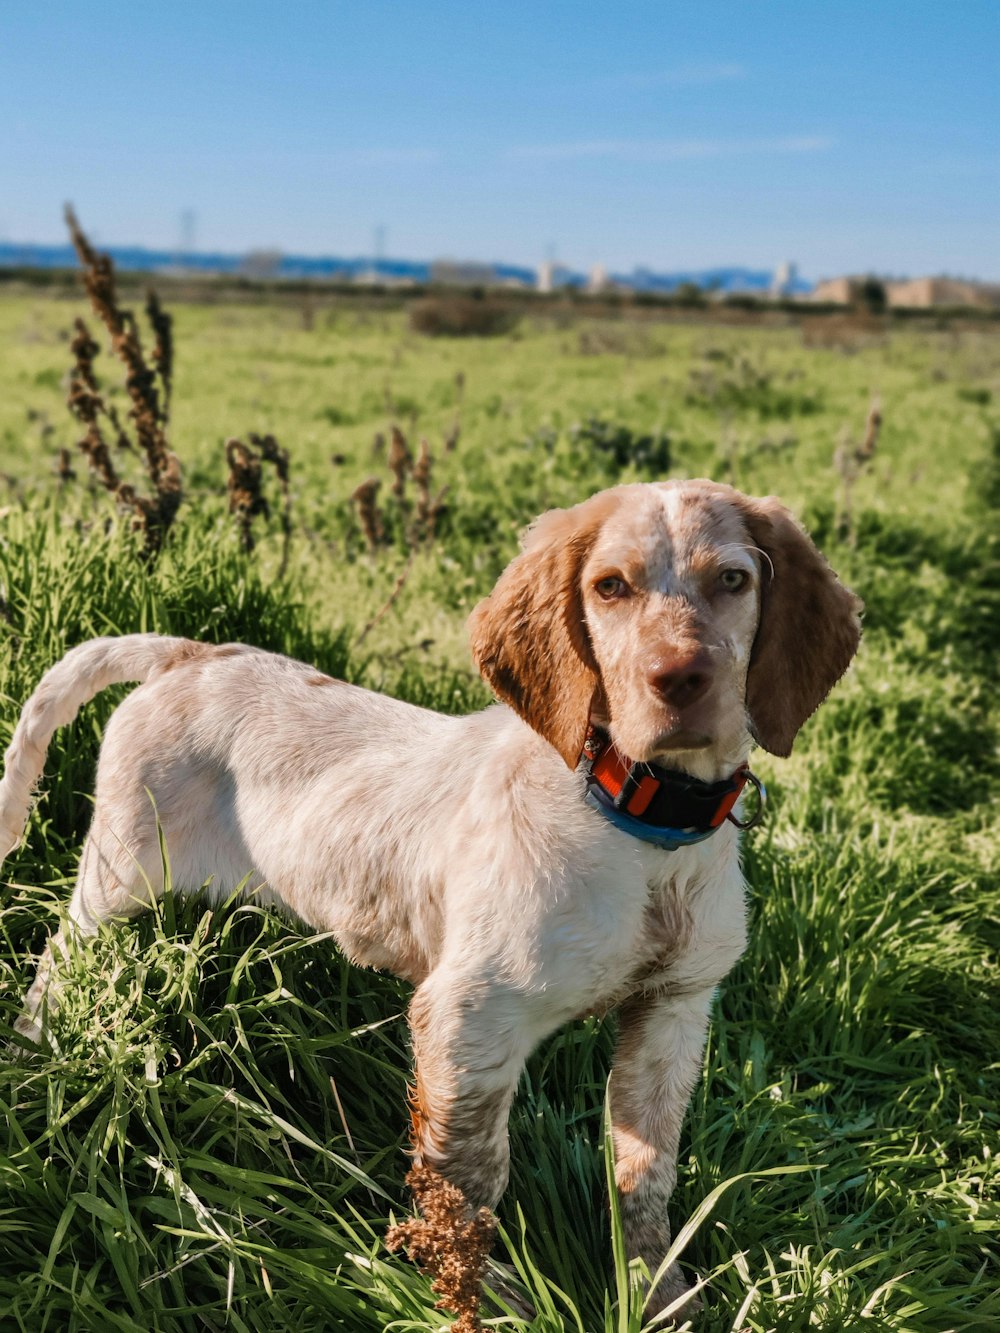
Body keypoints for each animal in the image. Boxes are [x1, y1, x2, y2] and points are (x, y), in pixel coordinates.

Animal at [0, 479, 864, 1311]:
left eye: (733, 580)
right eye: (611, 586)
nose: (680, 678)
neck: (640, 820)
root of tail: (191, 652)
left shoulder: (675, 1009)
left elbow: (644, 1173)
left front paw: (655, 1292)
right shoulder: (470, 1015)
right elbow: (469, 1180)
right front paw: (480, 1296)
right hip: (117, 874)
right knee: (57, 963)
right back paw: (35, 1052)